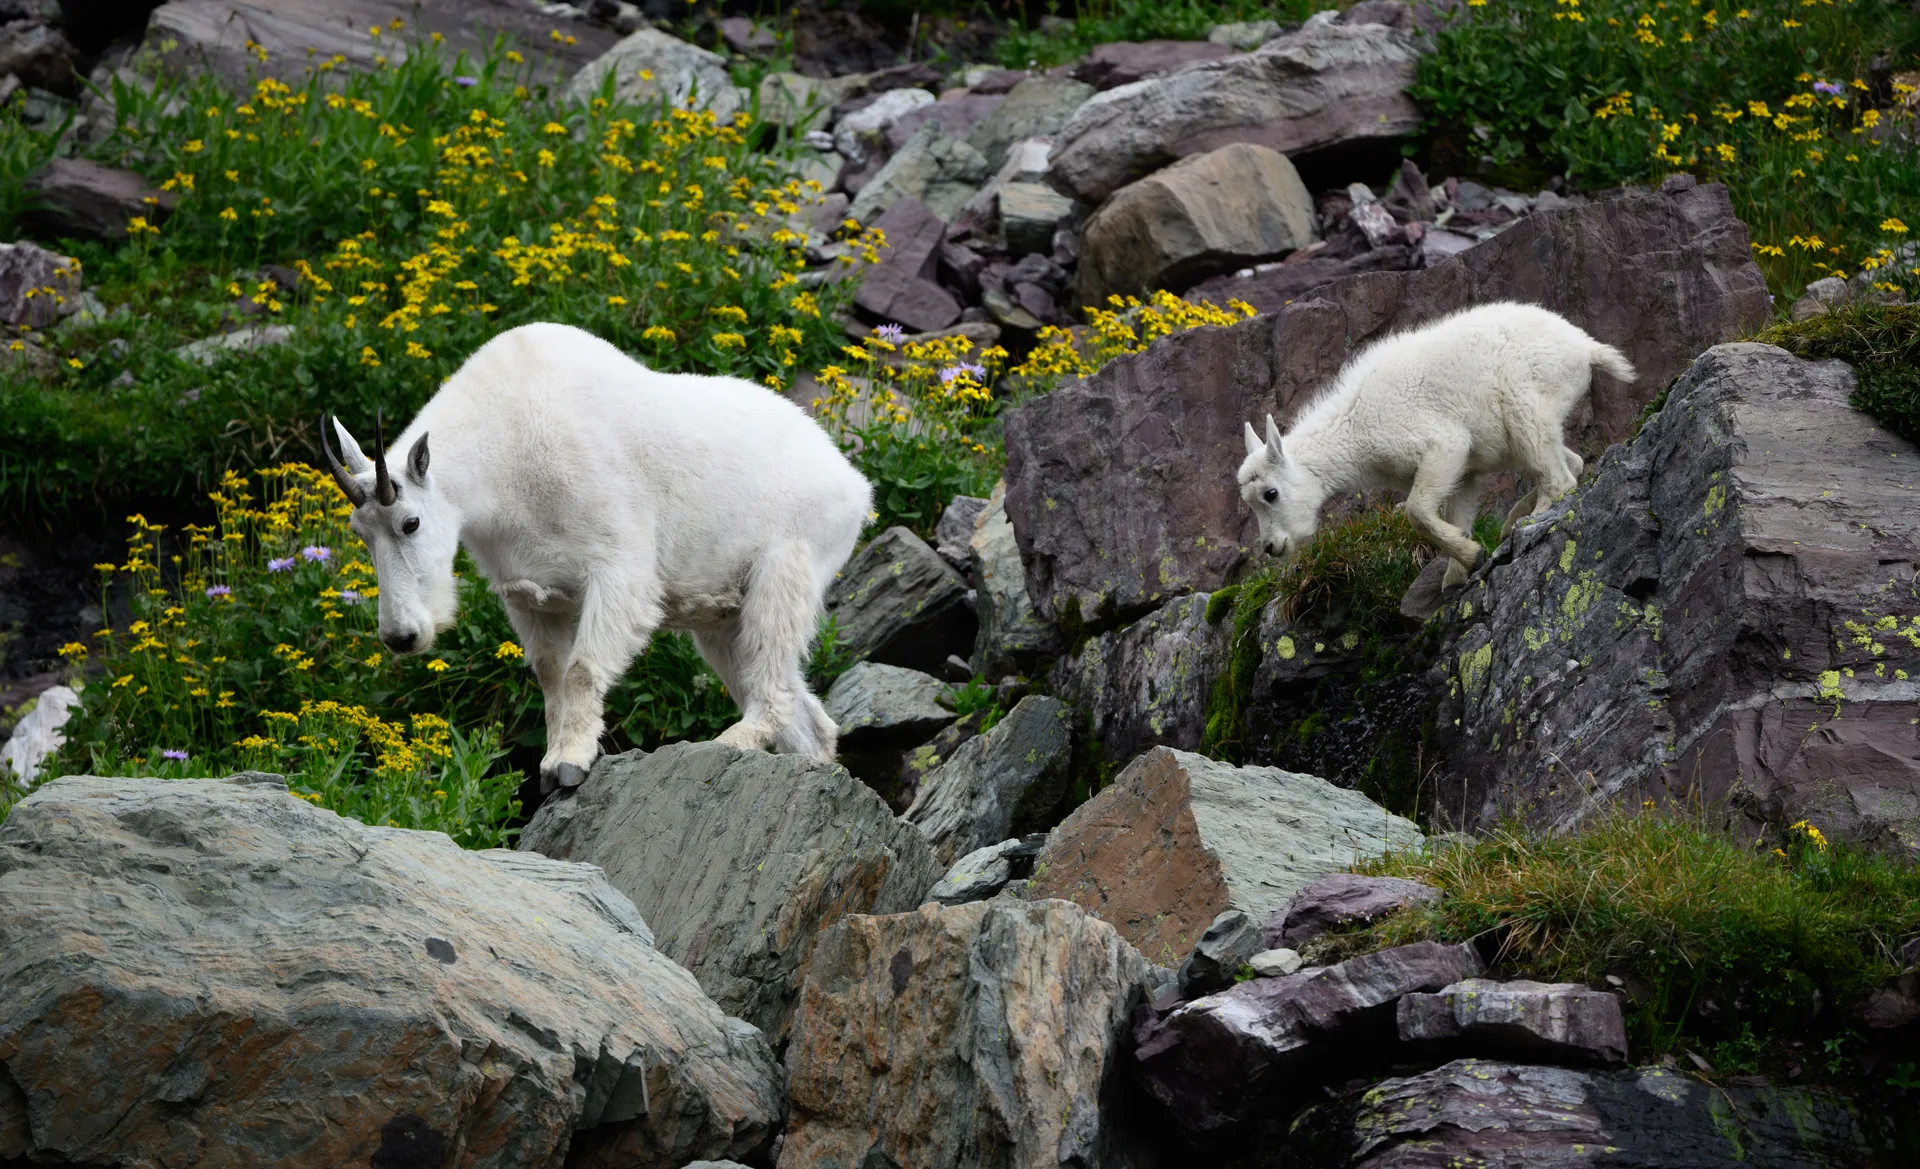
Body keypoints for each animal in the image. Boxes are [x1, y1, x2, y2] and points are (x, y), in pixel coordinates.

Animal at [321, 322, 873, 793]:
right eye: (360, 533)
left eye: (410, 523)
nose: (402, 637)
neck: (506, 454)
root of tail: (854, 484)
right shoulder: (529, 595)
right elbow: (550, 675)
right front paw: (551, 762)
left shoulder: (618, 569)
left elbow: (583, 669)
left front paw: (570, 764)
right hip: (723, 617)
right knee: (804, 713)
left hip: (786, 569)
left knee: (775, 682)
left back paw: (729, 744)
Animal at [1237, 301, 1635, 588]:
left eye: (1270, 494)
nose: (1271, 547)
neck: (1355, 429)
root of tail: (1585, 348)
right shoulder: (1465, 471)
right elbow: (1458, 513)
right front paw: (1457, 575)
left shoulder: (1442, 445)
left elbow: (1417, 511)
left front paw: (1470, 557)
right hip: (1523, 430)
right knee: (1568, 461)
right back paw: (1512, 521)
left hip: (1526, 401)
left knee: (1558, 474)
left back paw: (1528, 520)